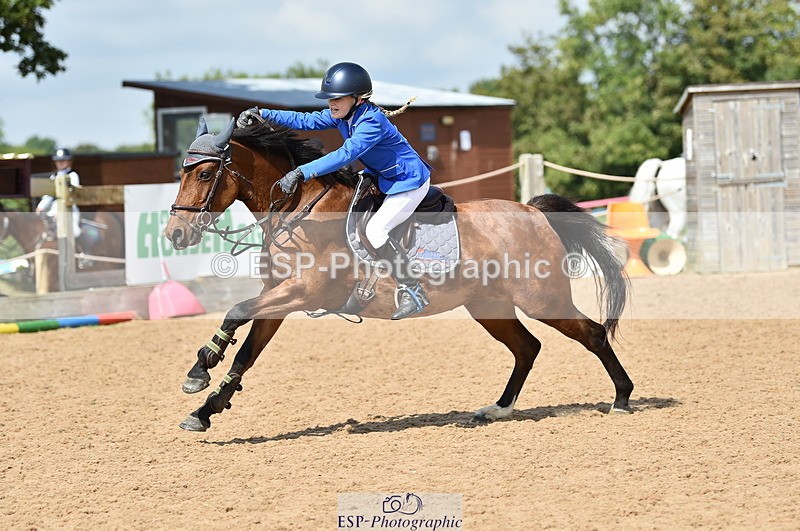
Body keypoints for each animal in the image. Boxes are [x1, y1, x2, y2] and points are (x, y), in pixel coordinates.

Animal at [165, 118, 634, 432]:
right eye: (182, 173)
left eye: (204, 173)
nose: (174, 234)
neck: (298, 209)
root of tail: (534, 211)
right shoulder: (280, 296)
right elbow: (245, 354)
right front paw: (204, 409)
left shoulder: (305, 290)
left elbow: (235, 311)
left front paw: (199, 370)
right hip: (488, 305)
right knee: (527, 347)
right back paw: (497, 409)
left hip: (542, 299)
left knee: (592, 334)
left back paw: (622, 398)